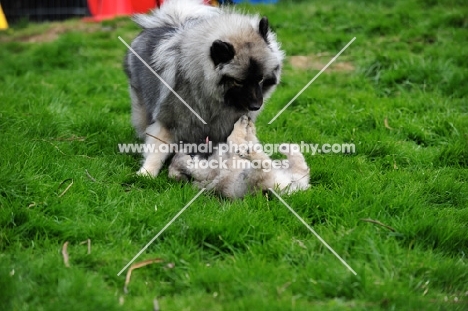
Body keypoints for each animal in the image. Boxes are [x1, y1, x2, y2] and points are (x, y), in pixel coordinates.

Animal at [124, 0, 284, 177]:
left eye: (260, 79)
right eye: (238, 81)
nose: (256, 106)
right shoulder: (168, 121)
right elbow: (157, 149)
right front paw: (146, 173)